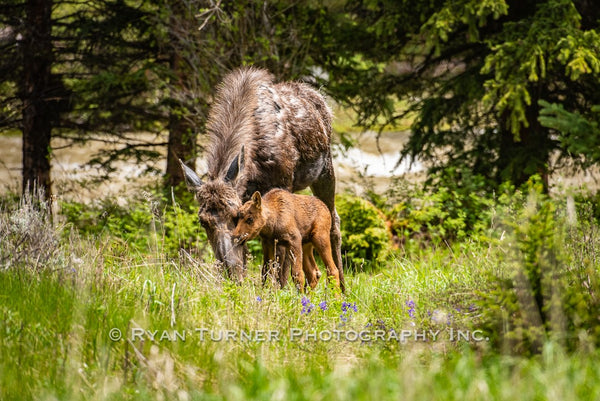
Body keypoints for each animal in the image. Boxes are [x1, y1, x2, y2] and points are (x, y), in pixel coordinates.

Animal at [180, 66, 344, 290]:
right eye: (203, 221)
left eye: (234, 215)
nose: (230, 271)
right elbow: (260, 257)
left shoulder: (282, 186)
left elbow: (280, 256)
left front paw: (280, 289)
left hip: (325, 169)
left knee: (334, 221)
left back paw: (343, 286)